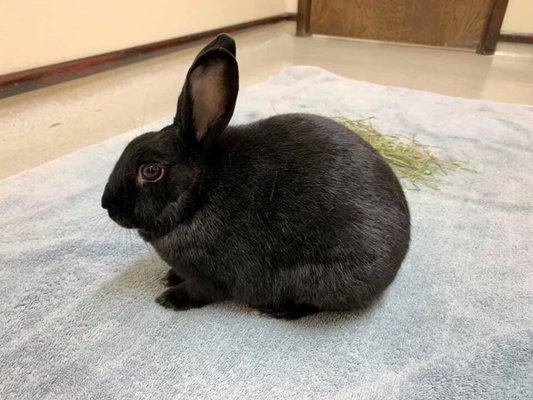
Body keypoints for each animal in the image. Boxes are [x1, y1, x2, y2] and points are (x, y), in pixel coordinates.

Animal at [104, 35, 412, 322]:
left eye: (150, 171)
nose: (107, 206)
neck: (199, 194)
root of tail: (400, 255)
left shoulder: (207, 275)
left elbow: (199, 291)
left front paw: (169, 298)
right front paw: (168, 277)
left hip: (321, 281)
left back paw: (272, 310)